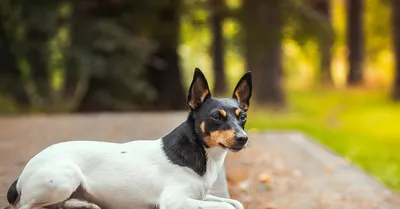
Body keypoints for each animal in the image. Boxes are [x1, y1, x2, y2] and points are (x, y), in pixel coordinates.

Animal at [6, 68, 252, 209]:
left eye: (243, 117)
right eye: (216, 116)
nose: (243, 139)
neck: (200, 153)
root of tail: (22, 175)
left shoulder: (199, 197)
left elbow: (236, 203)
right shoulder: (174, 201)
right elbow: (228, 207)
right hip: (65, 177)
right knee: (25, 207)